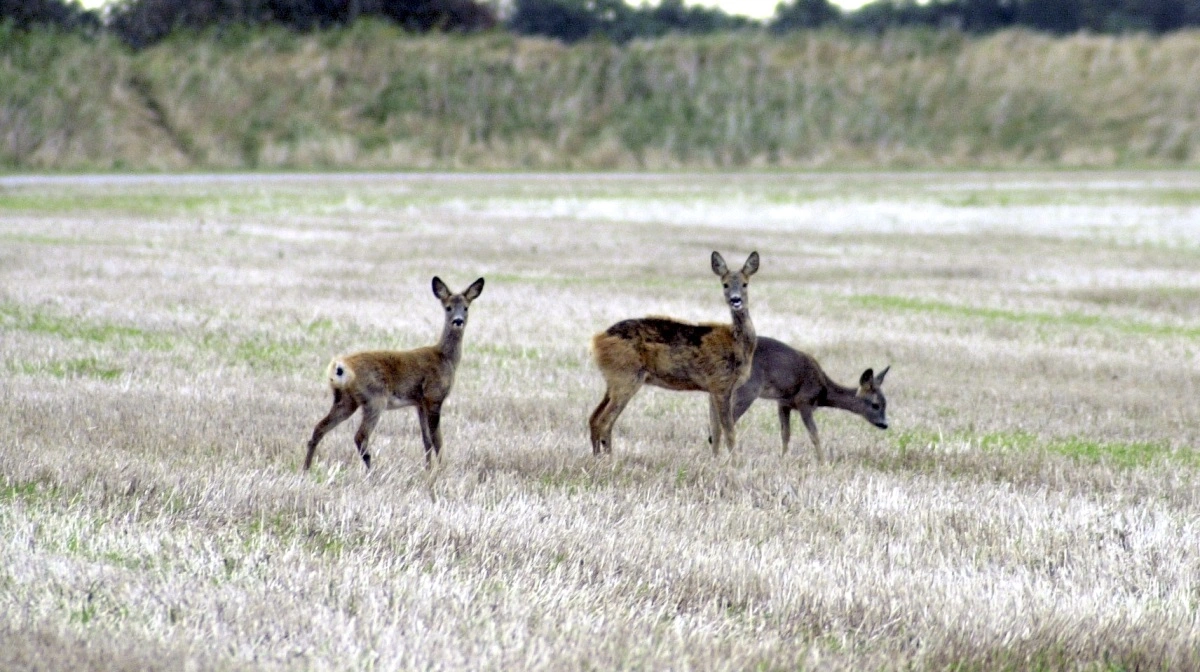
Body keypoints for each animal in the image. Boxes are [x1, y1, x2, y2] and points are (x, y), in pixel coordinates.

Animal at [302, 276, 484, 470]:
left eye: (466, 307)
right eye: (448, 307)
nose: (458, 321)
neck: (445, 358)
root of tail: (340, 366)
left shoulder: (420, 403)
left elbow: (426, 440)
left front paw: (428, 470)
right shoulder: (433, 396)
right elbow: (438, 441)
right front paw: (443, 470)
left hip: (346, 400)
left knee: (319, 428)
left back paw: (306, 469)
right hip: (375, 398)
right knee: (360, 437)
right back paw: (372, 472)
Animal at [710, 336, 892, 460]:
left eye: (885, 403)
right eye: (875, 405)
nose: (885, 424)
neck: (823, 389)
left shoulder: (783, 402)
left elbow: (785, 434)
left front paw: (783, 459)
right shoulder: (804, 401)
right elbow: (814, 434)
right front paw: (823, 463)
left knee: (715, 423)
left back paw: (715, 457)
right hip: (747, 389)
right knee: (726, 424)